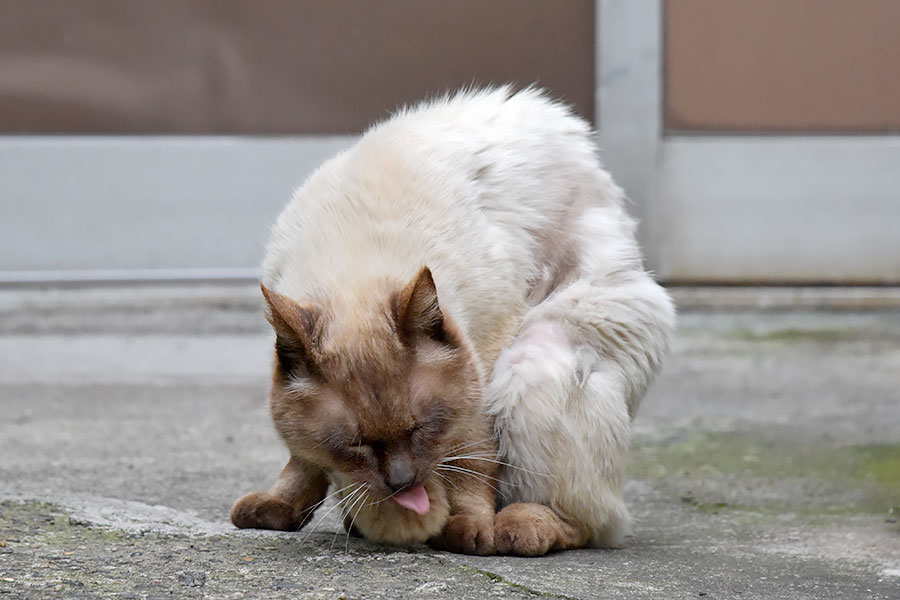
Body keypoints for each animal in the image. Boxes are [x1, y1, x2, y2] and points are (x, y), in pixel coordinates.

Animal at [232, 86, 676, 556]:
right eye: (356, 445)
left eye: (422, 429)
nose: (402, 482)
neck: (350, 257)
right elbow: (303, 461)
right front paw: (281, 508)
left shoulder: (485, 355)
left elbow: (471, 462)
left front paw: (468, 528)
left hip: (532, 362)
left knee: (593, 522)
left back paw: (521, 526)